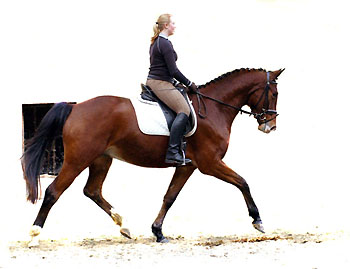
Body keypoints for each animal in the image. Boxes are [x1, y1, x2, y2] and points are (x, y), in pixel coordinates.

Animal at [21, 66, 284, 243]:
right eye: (274, 94)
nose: (270, 126)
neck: (214, 108)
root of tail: (75, 107)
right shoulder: (210, 163)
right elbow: (243, 182)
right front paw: (258, 221)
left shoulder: (187, 165)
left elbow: (170, 196)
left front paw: (158, 231)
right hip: (78, 159)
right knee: (53, 191)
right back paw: (34, 233)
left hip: (101, 159)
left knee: (92, 190)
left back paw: (124, 226)